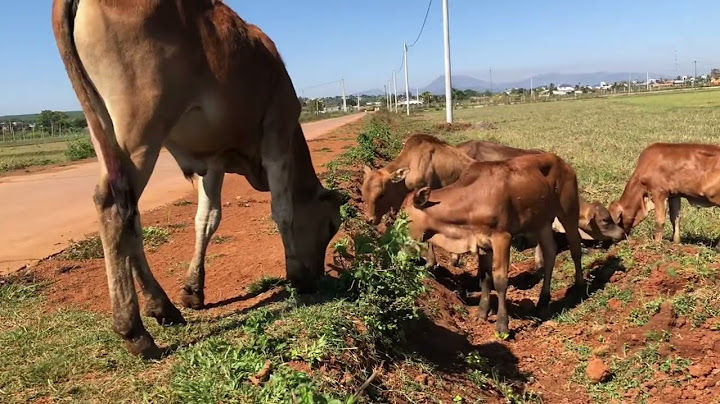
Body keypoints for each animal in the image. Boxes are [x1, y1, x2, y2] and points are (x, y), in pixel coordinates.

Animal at [52, 0, 340, 360]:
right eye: (331, 226)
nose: (319, 276)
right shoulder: (277, 132)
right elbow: (282, 210)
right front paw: (298, 276)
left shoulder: (213, 161)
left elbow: (207, 219)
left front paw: (193, 289)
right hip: (141, 127)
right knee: (114, 208)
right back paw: (135, 331)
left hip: (103, 129)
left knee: (130, 214)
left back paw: (162, 307)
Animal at [402, 152, 588, 334]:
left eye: (403, 218)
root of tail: (563, 163)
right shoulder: (482, 243)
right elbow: (485, 278)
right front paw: (482, 313)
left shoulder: (502, 237)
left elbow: (500, 281)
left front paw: (502, 325)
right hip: (541, 223)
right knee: (550, 253)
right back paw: (543, 301)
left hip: (569, 211)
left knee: (575, 248)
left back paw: (580, 286)